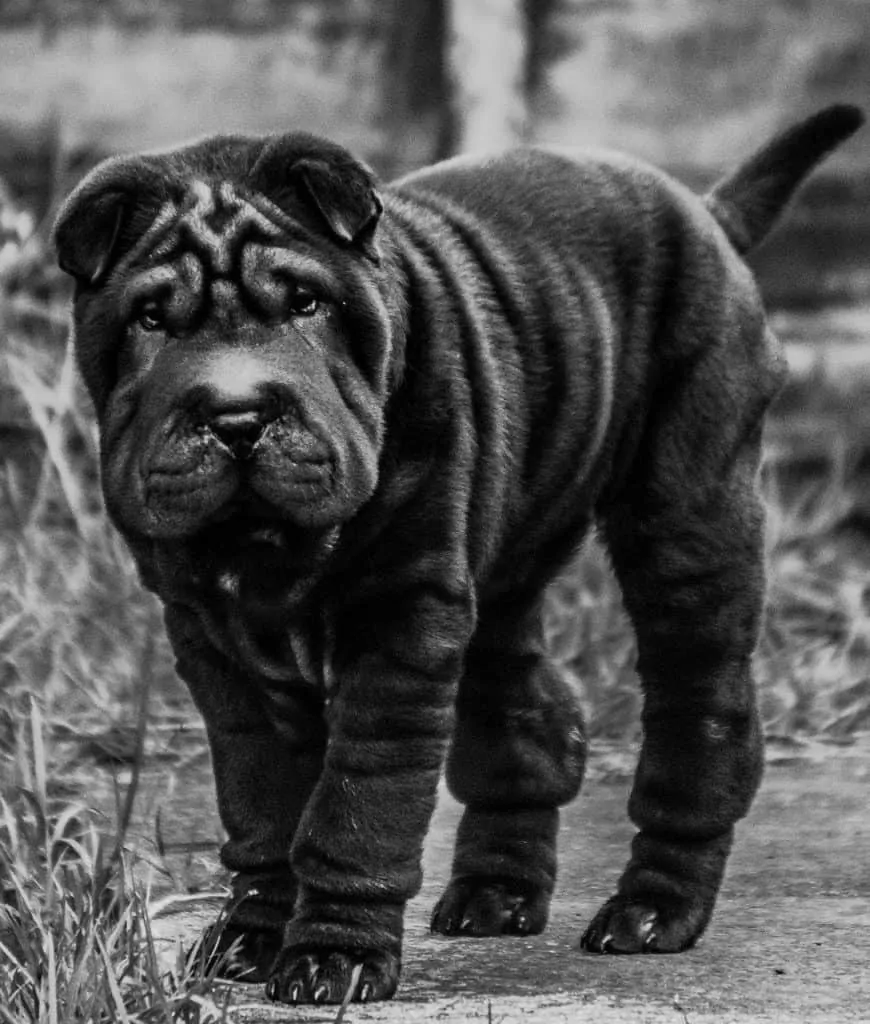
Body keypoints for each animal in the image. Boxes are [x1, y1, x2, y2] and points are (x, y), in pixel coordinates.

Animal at [54, 105, 859, 1007]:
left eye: (305, 303)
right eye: (151, 320)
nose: (236, 415)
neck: (269, 550)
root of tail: (706, 213)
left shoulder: (398, 621)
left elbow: (357, 807)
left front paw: (333, 956)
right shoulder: (215, 642)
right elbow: (260, 805)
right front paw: (250, 939)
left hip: (688, 521)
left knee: (700, 717)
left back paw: (652, 910)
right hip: (504, 567)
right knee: (528, 716)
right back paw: (496, 892)